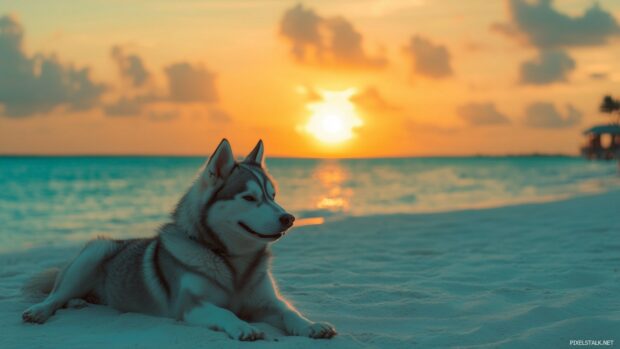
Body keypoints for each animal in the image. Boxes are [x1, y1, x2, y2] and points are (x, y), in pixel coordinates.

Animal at [21, 139, 336, 340]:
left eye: (273, 195)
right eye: (249, 198)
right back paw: (41, 310)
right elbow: (226, 314)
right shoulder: (191, 306)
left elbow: (290, 312)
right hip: (94, 252)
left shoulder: (267, 303)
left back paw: (80, 303)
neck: (232, 263)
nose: (289, 218)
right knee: (57, 294)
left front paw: (311, 325)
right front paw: (243, 327)